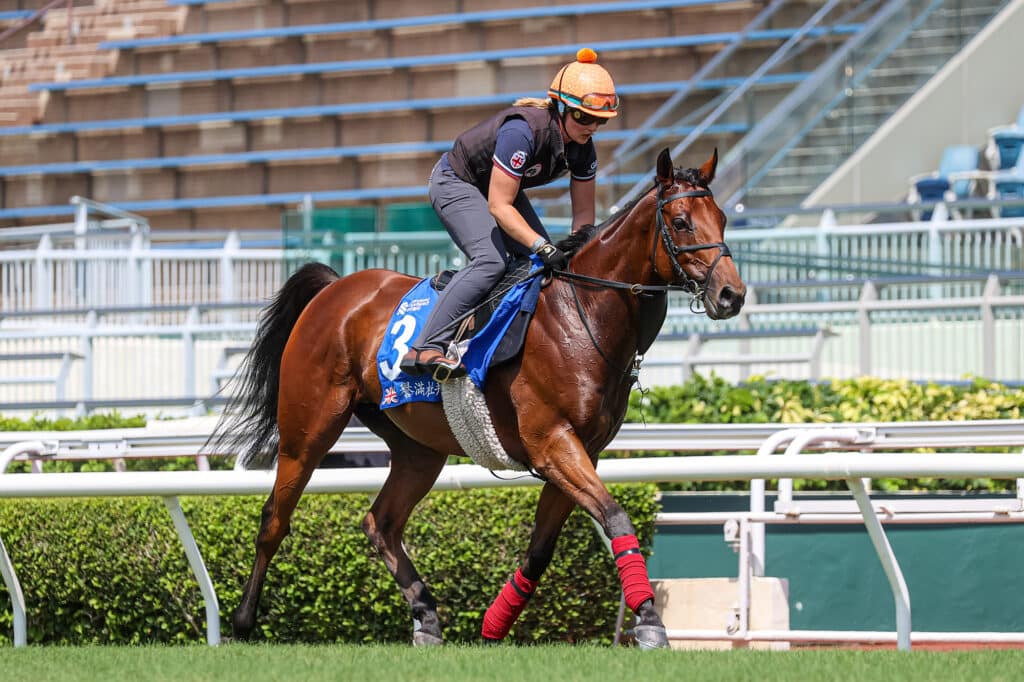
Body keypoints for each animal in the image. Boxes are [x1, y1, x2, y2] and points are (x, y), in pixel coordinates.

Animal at [210, 147, 746, 647]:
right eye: (681, 221)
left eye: (722, 219)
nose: (732, 295)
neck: (583, 313)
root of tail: (335, 287)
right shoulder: (552, 442)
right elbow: (614, 517)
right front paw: (651, 621)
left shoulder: (579, 450)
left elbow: (540, 550)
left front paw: (493, 624)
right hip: (308, 429)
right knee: (274, 518)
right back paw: (243, 620)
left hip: (417, 448)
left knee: (382, 523)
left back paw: (426, 617)